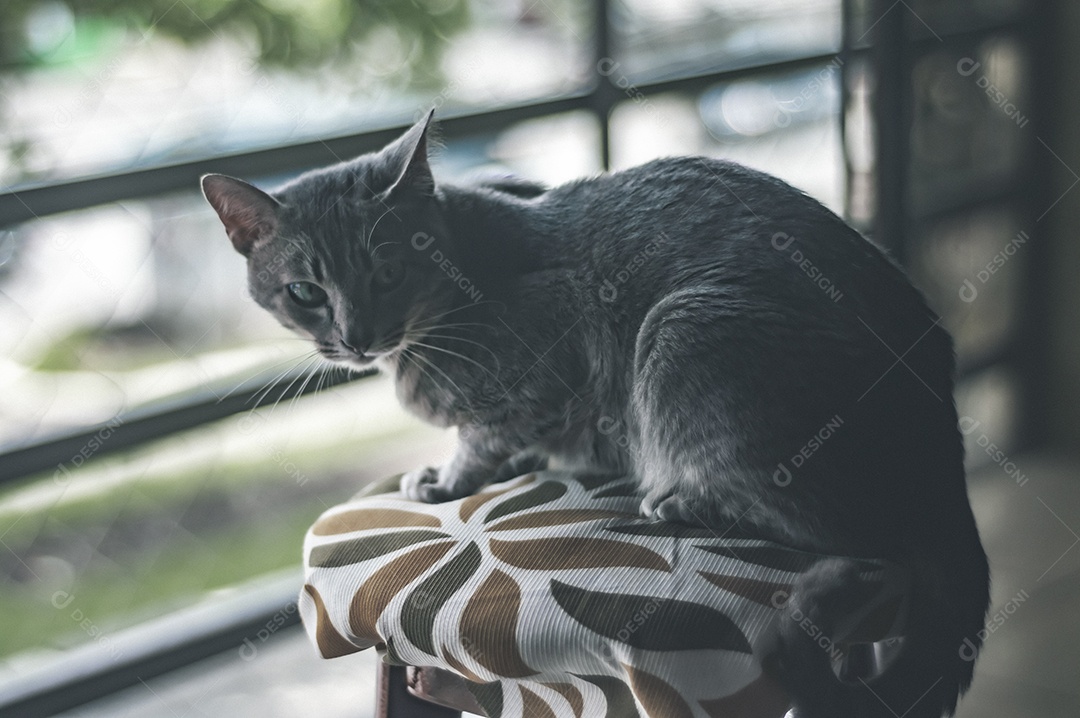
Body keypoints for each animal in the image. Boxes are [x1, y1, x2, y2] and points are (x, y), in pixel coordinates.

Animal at [203, 113, 989, 716]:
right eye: (305, 292)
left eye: (388, 272)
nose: (355, 336)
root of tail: (945, 461)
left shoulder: (551, 345)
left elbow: (484, 435)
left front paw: (445, 480)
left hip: (685, 332)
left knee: (847, 533)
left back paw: (679, 502)